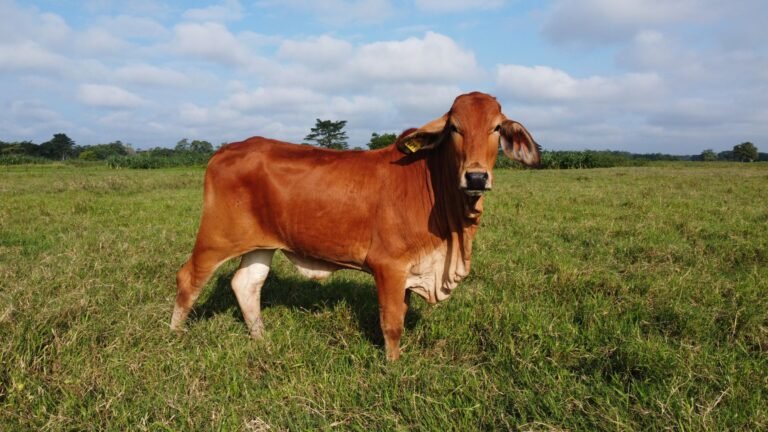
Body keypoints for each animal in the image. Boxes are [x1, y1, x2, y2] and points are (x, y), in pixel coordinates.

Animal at [170, 91, 540, 360]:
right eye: (454, 128)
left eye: (496, 128)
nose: (476, 177)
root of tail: (226, 150)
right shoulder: (388, 266)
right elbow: (392, 323)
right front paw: (393, 368)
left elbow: (401, 313)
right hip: (216, 237)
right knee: (188, 279)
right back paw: (175, 337)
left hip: (261, 244)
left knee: (247, 284)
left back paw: (262, 341)